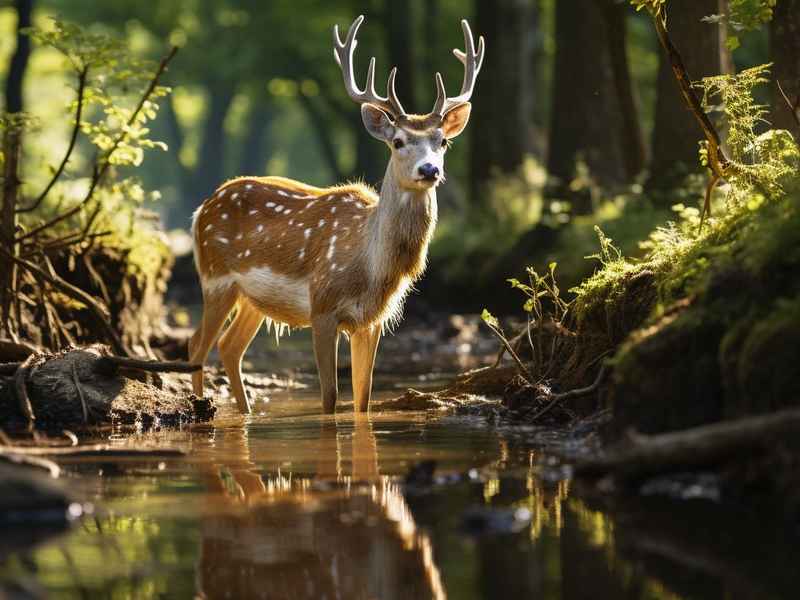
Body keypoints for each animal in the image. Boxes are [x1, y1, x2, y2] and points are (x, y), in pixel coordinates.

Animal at [189, 15, 484, 415]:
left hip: (252, 299)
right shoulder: (322, 307)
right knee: (197, 346)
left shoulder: (372, 321)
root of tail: (201, 209)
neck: (370, 268)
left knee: (229, 347)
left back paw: (246, 412)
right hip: (215, 278)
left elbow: (364, 399)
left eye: (443, 141)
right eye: (398, 142)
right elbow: (329, 399)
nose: (429, 170)